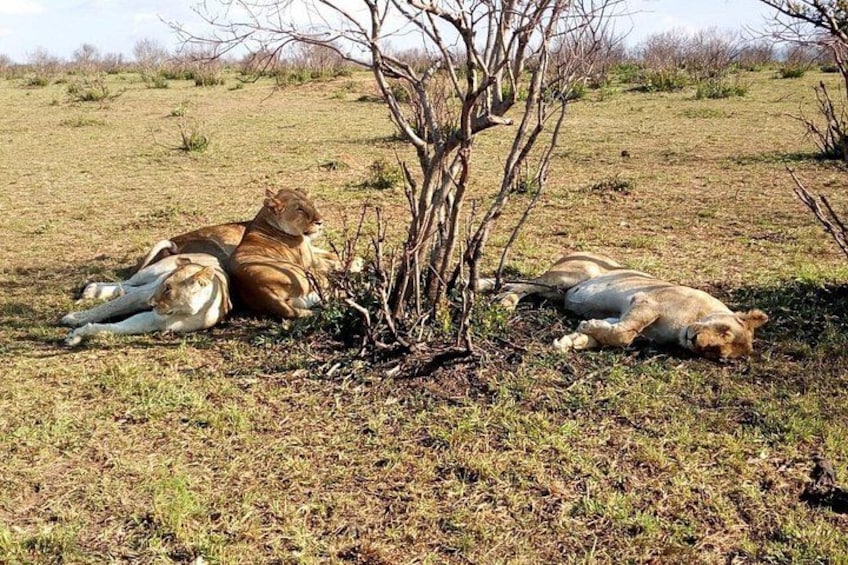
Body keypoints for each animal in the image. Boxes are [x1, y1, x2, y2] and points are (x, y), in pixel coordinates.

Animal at [62, 254, 231, 346]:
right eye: (165, 286)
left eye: (168, 289)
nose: (152, 303)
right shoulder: (142, 296)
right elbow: (109, 308)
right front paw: (75, 318)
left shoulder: (155, 321)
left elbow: (117, 327)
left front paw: (77, 335)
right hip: (150, 273)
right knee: (128, 282)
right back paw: (91, 289)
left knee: (128, 287)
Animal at [227, 188, 344, 319]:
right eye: (299, 210)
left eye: (312, 205)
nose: (320, 222)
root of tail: (258, 289)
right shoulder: (310, 261)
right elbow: (329, 263)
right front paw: (347, 264)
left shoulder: (311, 251)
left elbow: (330, 254)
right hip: (301, 273)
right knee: (325, 283)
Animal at [490, 252, 768, 359]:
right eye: (724, 330)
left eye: (716, 353)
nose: (696, 341)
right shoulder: (645, 302)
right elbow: (626, 334)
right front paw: (586, 325)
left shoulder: (621, 317)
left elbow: (611, 334)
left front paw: (571, 340)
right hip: (569, 277)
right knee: (520, 286)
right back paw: (505, 303)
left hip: (557, 292)